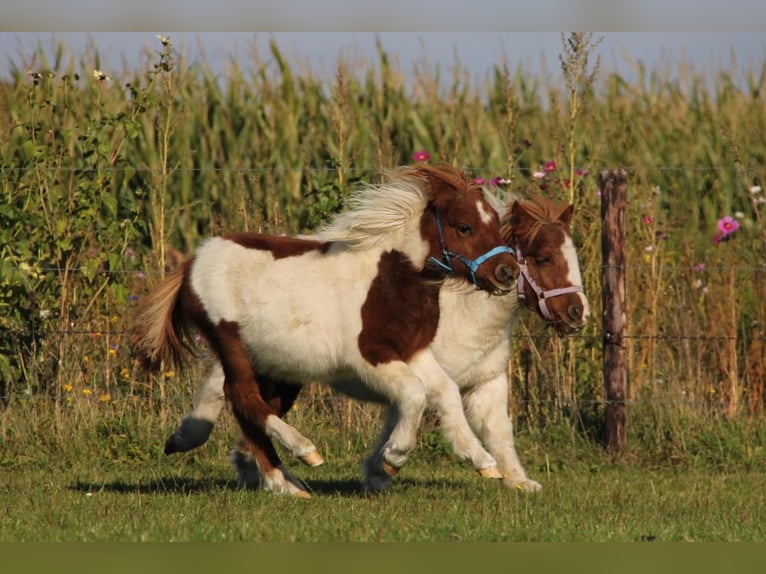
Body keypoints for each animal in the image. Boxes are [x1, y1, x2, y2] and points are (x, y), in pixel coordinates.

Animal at [162, 191, 592, 498]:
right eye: (543, 258)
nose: (578, 313)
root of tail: (196, 262)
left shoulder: (485, 382)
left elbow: (497, 430)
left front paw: (518, 481)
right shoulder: (411, 369)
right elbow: (418, 411)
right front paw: (383, 469)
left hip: (280, 366)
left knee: (240, 398)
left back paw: (248, 464)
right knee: (231, 391)